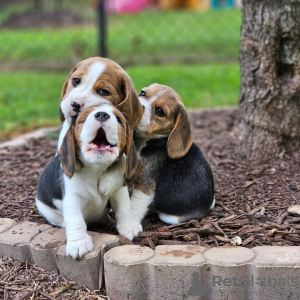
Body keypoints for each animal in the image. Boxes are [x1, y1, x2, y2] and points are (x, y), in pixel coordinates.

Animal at [36, 104, 142, 258]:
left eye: (118, 119)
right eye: (84, 118)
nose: (102, 114)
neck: (95, 168)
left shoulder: (119, 191)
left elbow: (124, 207)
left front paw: (128, 226)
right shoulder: (72, 198)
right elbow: (76, 220)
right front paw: (78, 243)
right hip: (44, 207)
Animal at [130, 83, 214, 226]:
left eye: (160, 111)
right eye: (142, 93)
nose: (137, 106)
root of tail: (205, 208)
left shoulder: (144, 184)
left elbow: (135, 205)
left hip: (170, 217)